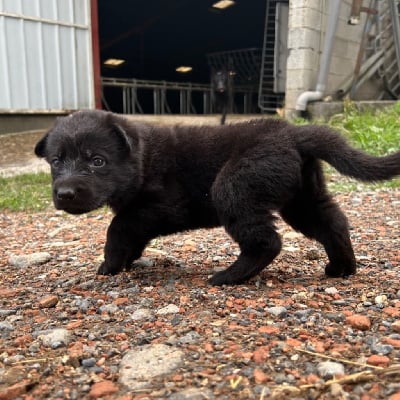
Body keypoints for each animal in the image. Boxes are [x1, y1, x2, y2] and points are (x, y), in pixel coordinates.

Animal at [35, 109, 400, 284]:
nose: (65, 193)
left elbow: (118, 226)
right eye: (56, 161)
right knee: (332, 223)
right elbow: (129, 231)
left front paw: (110, 264)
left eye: (97, 161)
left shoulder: (165, 206)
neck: (143, 157)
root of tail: (294, 134)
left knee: (267, 241)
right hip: (302, 197)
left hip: (235, 187)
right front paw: (126, 260)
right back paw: (342, 267)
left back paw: (229, 277)